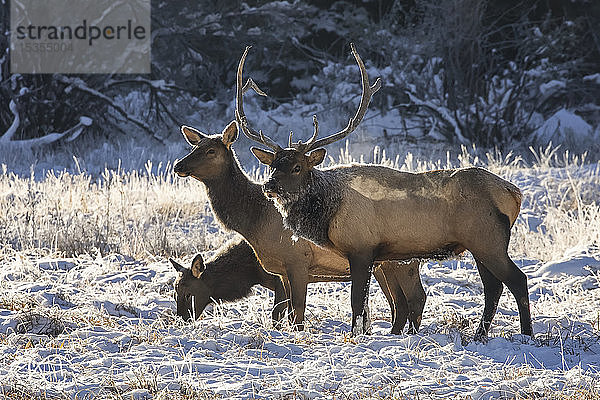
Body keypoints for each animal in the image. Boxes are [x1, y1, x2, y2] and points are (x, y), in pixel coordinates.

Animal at [241, 43, 532, 338]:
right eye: (273, 165)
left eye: (298, 167)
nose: (269, 186)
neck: (328, 214)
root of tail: (514, 194)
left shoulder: (361, 248)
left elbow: (357, 302)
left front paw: (355, 335)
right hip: (480, 243)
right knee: (493, 286)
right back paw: (480, 335)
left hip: (488, 239)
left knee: (517, 280)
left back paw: (527, 335)